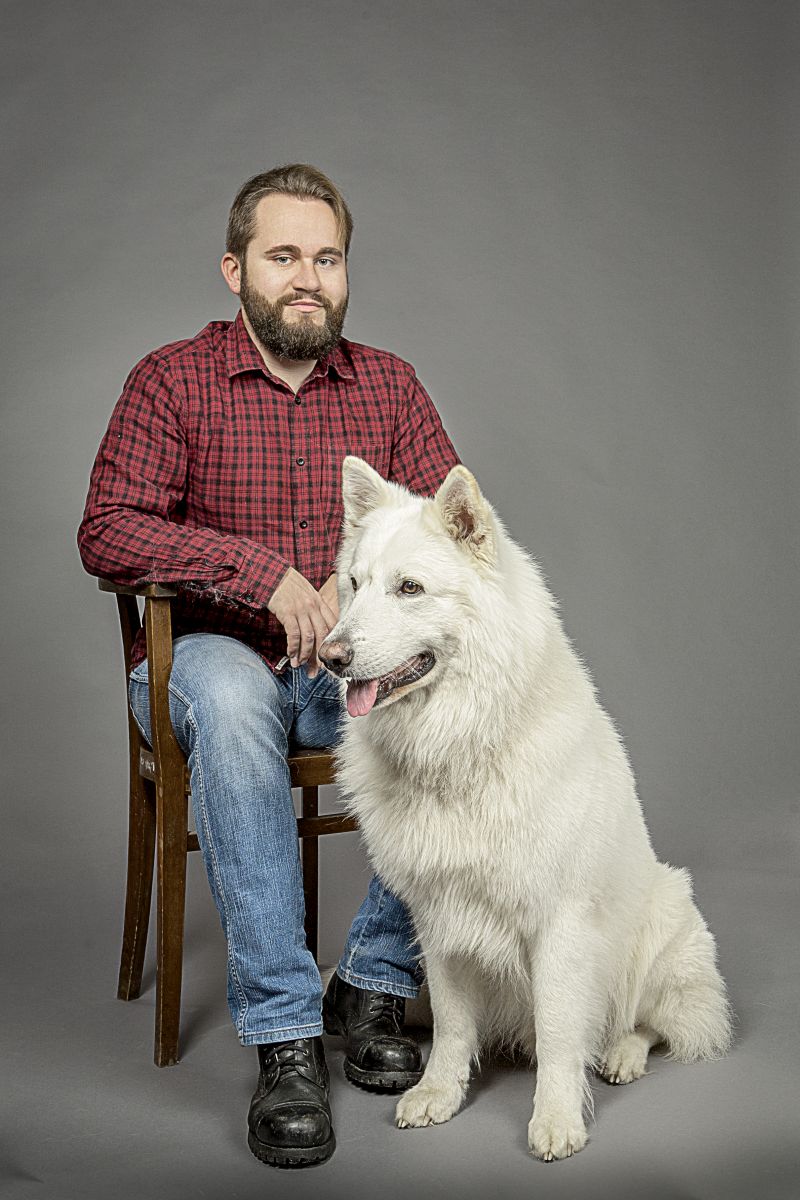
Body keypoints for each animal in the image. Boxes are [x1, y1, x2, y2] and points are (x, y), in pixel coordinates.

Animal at [319, 453, 734, 1156]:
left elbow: (563, 1032)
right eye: (355, 583)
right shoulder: (440, 917)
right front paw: (439, 1093)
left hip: (664, 931)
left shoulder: (560, 924)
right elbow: (454, 1025)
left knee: (651, 1022)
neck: (462, 744)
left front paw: (558, 1118)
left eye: (409, 589)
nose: (330, 656)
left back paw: (621, 1054)